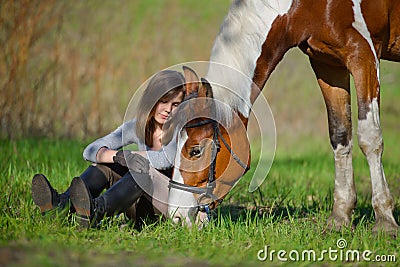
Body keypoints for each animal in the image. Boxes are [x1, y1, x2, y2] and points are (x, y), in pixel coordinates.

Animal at [166, 0, 400, 234]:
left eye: (195, 151)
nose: (176, 217)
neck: (305, 8)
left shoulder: (364, 56)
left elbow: (370, 138)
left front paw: (385, 220)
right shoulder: (328, 64)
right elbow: (340, 135)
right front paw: (340, 218)